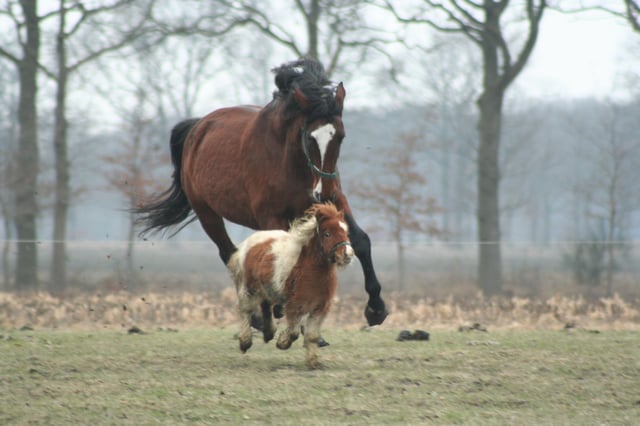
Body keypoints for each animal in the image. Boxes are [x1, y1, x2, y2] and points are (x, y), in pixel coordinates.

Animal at [133, 58, 388, 326]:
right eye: (310, 137)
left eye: (340, 136)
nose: (324, 193)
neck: (292, 163)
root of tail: (198, 127)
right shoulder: (271, 217)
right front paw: (282, 309)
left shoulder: (335, 204)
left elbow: (360, 240)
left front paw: (376, 308)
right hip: (207, 214)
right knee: (229, 254)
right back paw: (257, 313)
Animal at [228, 201, 352, 368]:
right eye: (327, 234)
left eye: (345, 231)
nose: (347, 254)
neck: (310, 269)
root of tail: (248, 243)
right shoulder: (295, 306)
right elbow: (294, 332)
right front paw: (282, 342)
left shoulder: (320, 308)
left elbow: (312, 336)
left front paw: (313, 363)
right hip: (248, 289)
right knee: (245, 311)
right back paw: (245, 342)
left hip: (266, 288)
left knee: (265, 306)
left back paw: (268, 333)